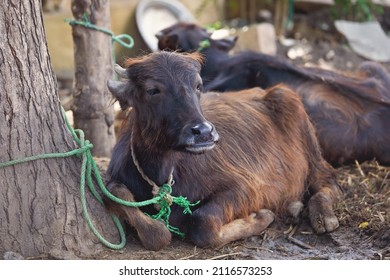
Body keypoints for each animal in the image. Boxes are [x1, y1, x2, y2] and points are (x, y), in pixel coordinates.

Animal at [103, 50, 342, 252]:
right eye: (153, 90)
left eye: (198, 86)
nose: (203, 132)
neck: (163, 170)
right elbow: (123, 201)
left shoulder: (245, 186)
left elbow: (204, 223)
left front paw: (261, 217)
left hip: (296, 116)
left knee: (328, 180)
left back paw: (323, 216)